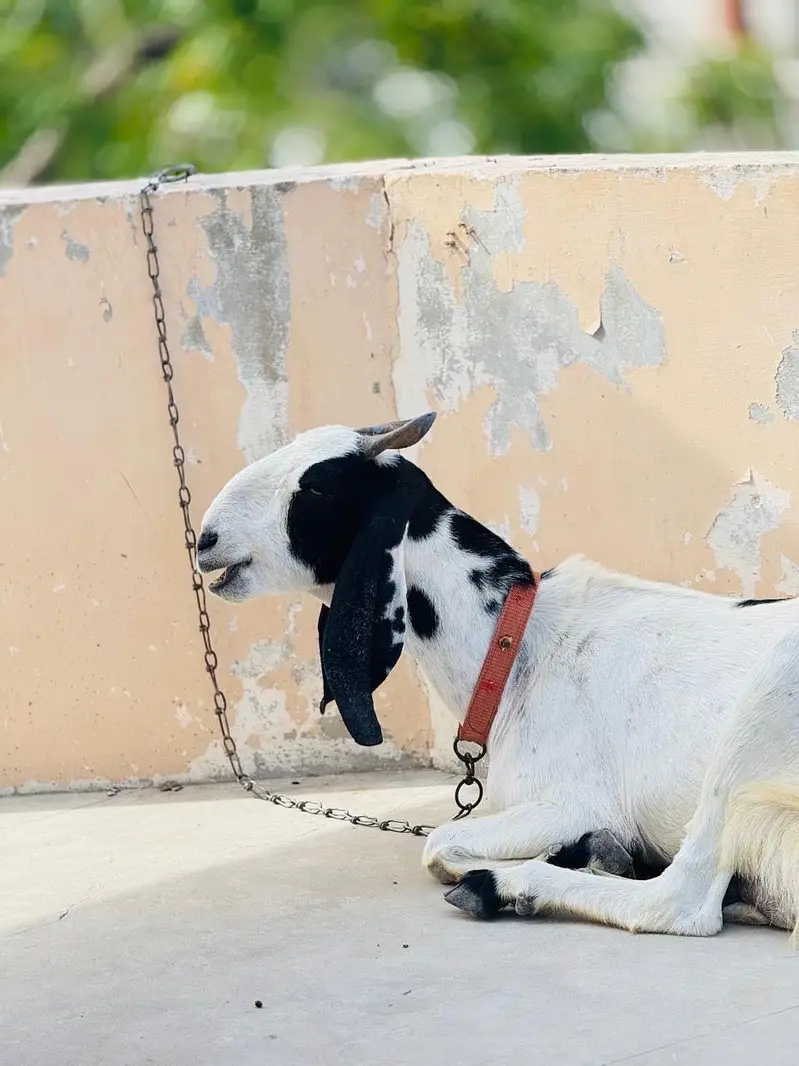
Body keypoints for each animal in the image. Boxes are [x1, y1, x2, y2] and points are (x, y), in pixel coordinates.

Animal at [198, 412, 799, 939]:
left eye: (317, 487)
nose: (205, 540)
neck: (519, 649)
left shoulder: (574, 802)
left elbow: (439, 843)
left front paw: (585, 854)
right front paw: (597, 852)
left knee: (681, 901)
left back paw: (507, 887)